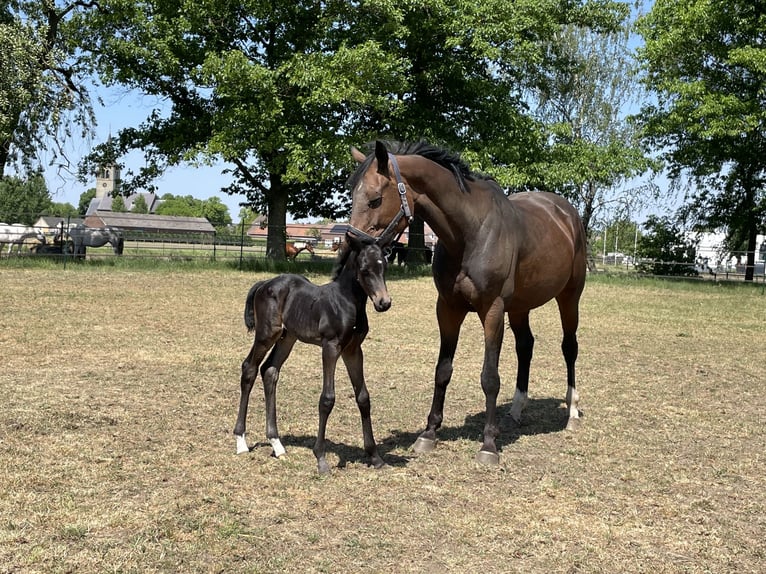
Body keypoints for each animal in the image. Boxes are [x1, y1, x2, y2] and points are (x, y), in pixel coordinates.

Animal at [232, 235, 390, 476]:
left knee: (269, 370)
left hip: (287, 337)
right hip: (267, 334)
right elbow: (327, 399)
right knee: (249, 368)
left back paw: (277, 444)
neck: (346, 302)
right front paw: (321, 459)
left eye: (384, 266)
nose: (384, 303)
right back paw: (241, 441)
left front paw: (374, 456)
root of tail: (264, 284)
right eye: (364, 270)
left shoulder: (353, 350)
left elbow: (363, 397)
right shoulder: (331, 347)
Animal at [348, 141, 588, 468]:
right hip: (520, 307)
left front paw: (489, 445)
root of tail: (567, 214)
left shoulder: (493, 310)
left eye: (374, 200)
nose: (351, 247)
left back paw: (572, 412)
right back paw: (516, 410)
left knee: (569, 347)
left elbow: (489, 377)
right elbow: (442, 370)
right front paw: (429, 433)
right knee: (525, 346)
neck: (470, 233)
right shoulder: (448, 308)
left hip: (569, 297)